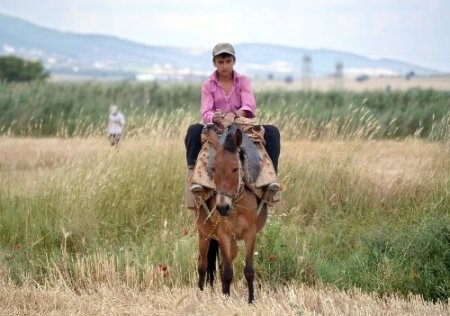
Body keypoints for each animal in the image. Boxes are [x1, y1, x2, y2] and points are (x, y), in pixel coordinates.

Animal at [193, 123, 268, 304]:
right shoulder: (224, 234)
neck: (237, 205)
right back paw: (200, 295)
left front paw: (251, 301)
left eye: (235, 168)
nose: (222, 208)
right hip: (204, 235)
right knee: (202, 264)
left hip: (232, 243)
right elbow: (227, 272)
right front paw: (226, 301)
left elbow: (248, 270)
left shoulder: (250, 234)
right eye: (213, 169)